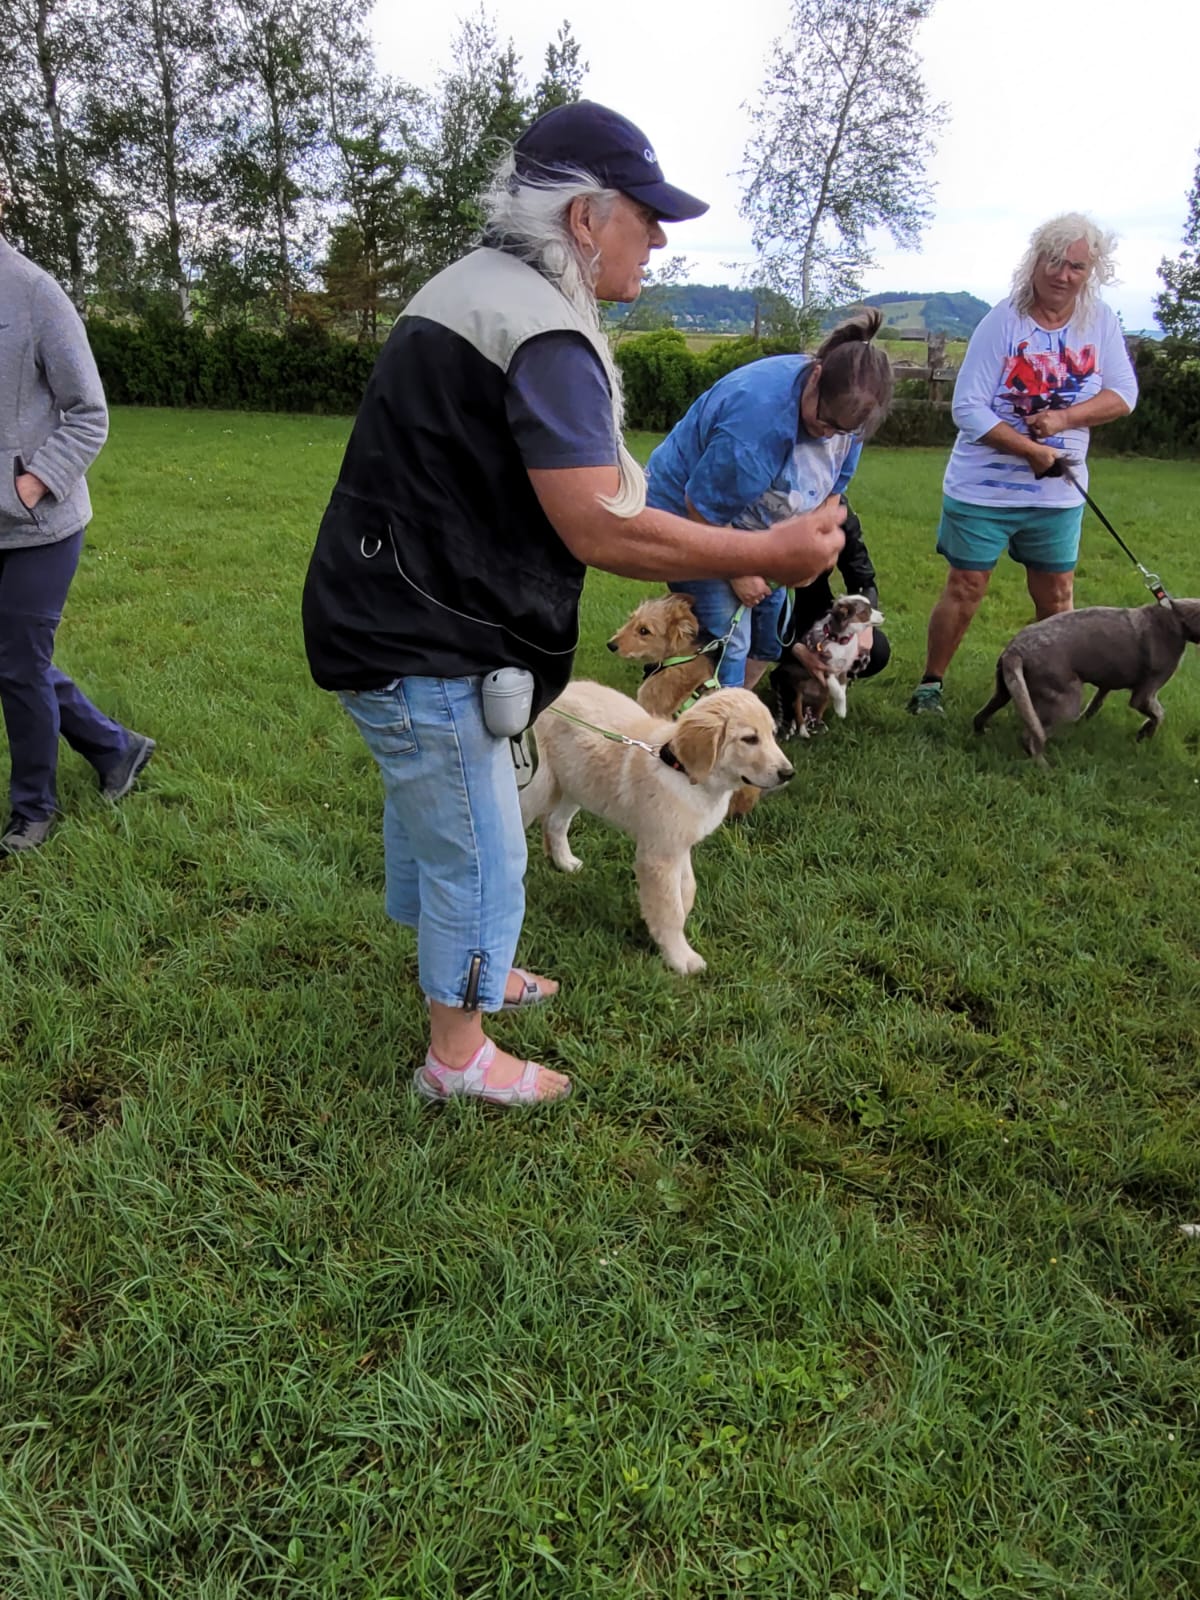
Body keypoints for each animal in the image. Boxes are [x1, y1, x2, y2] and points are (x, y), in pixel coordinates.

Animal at [520, 681, 794, 974]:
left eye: (773, 734)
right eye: (750, 739)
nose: (788, 773)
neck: (685, 772)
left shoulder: (678, 844)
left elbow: (686, 891)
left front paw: (664, 925)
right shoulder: (659, 855)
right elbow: (669, 908)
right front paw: (680, 957)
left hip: (578, 783)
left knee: (555, 822)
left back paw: (564, 862)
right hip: (540, 785)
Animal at [770, 594, 883, 738]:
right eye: (866, 611)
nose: (883, 615)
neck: (840, 640)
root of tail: (809, 701)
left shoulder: (844, 669)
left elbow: (842, 688)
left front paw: (841, 708)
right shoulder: (825, 668)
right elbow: (838, 691)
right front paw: (841, 711)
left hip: (824, 697)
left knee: (817, 713)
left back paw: (817, 725)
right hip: (797, 692)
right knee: (798, 712)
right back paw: (802, 730)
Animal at [973, 598, 1200, 763]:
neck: (1178, 618)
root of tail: (1015, 651)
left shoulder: (1107, 683)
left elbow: (1095, 704)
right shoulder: (1145, 695)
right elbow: (1159, 714)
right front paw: (1145, 734)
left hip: (1006, 688)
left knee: (981, 715)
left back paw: (980, 733)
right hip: (1066, 700)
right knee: (1030, 737)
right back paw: (1044, 767)